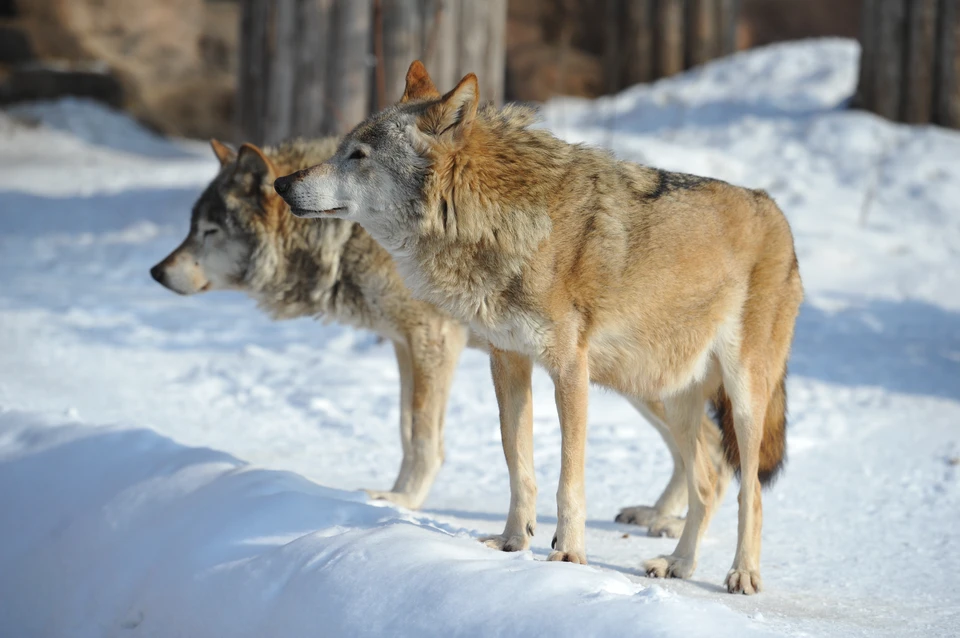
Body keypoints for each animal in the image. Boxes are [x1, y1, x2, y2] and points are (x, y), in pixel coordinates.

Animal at [150, 135, 728, 528]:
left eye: (209, 231)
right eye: (190, 228)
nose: (155, 272)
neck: (346, 237)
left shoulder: (433, 340)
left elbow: (425, 435)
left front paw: (405, 500)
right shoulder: (403, 345)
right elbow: (407, 430)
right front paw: (392, 494)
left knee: (712, 448)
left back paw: (669, 525)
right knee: (701, 446)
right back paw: (659, 518)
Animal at [272, 62, 804, 596]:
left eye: (358, 156)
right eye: (341, 149)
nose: (280, 184)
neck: (494, 219)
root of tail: (777, 211)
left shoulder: (568, 370)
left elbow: (569, 478)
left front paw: (568, 554)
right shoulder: (507, 362)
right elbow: (518, 464)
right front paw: (512, 543)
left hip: (740, 398)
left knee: (750, 491)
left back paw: (742, 573)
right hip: (666, 393)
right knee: (708, 481)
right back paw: (677, 563)